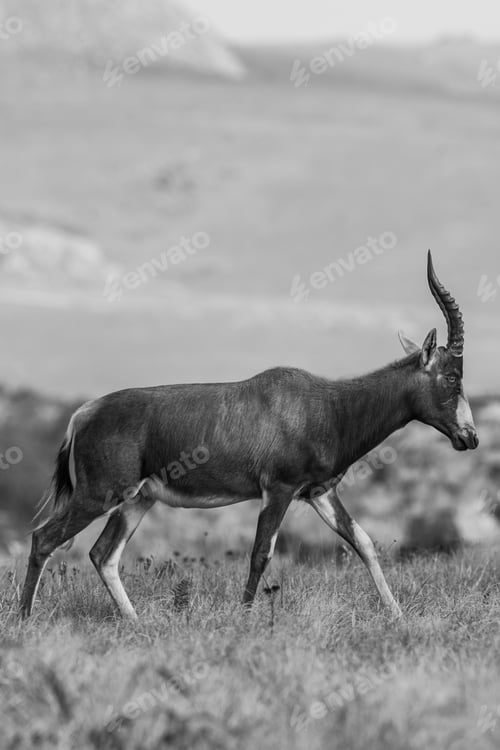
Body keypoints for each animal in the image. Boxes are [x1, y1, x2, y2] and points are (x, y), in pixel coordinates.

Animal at [20, 251, 478, 620]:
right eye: (452, 376)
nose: (469, 438)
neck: (329, 404)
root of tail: (83, 414)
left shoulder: (319, 494)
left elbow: (363, 542)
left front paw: (397, 615)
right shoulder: (278, 490)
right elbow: (261, 553)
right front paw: (243, 618)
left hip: (137, 500)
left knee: (103, 555)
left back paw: (135, 622)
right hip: (100, 495)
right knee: (44, 538)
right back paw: (25, 620)